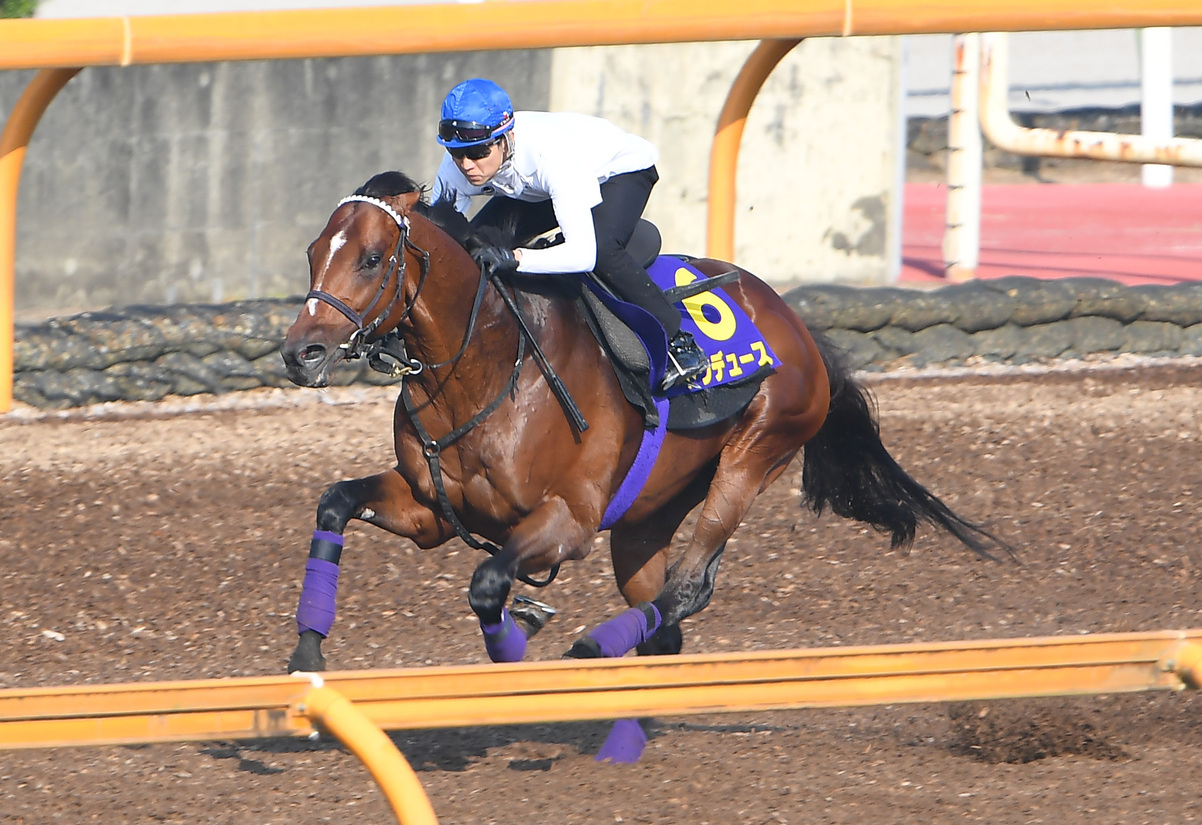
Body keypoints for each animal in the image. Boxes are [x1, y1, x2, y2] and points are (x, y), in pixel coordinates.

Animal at [281, 170, 1004, 764]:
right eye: (314, 251)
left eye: (372, 258)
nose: (301, 352)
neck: (486, 363)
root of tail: (793, 318)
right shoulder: (431, 509)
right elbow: (334, 501)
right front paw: (308, 652)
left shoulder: (569, 522)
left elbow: (487, 583)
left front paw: (516, 638)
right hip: (643, 521)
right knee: (665, 624)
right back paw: (624, 735)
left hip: (754, 453)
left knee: (689, 587)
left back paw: (595, 646)